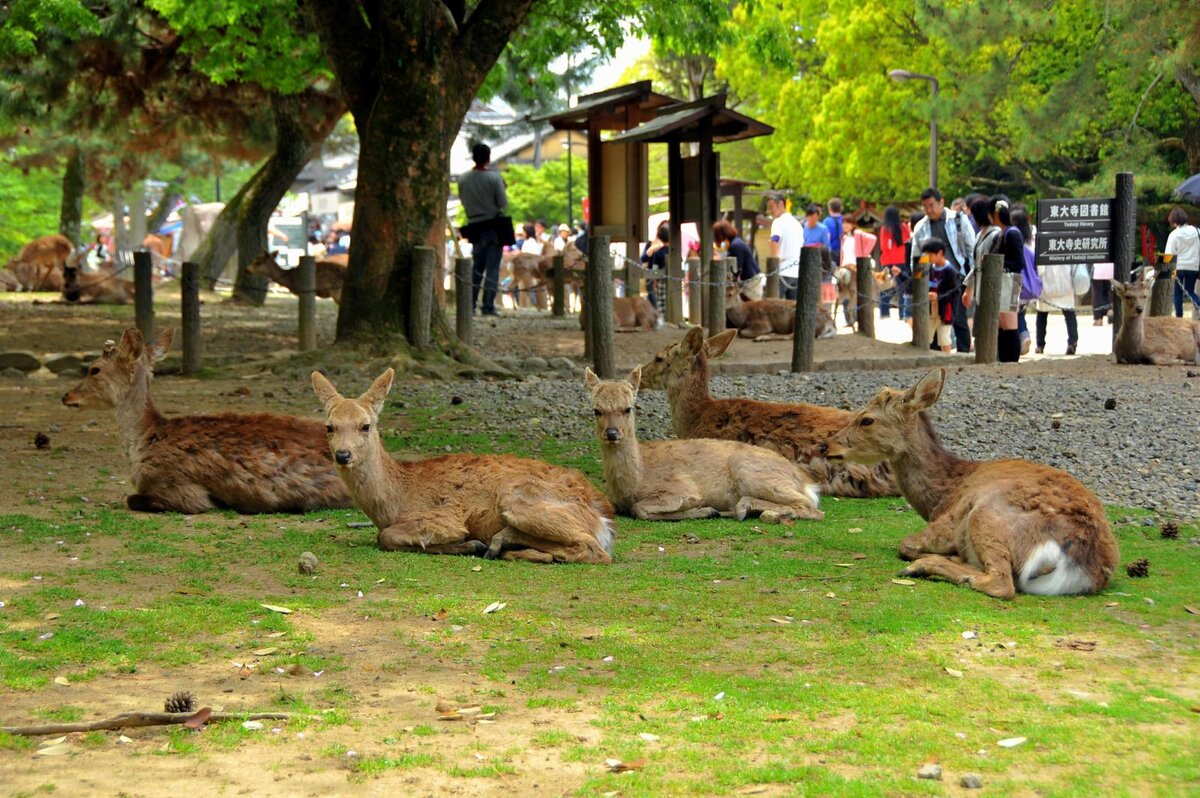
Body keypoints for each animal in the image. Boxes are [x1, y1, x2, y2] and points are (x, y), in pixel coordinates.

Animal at [314, 364, 614, 559]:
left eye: (365, 425)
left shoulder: (442, 517)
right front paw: (471, 545)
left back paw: (499, 544)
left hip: (516, 496)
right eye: (329, 426)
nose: (343, 455)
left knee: (594, 550)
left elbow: (386, 536)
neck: (394, 500)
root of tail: (602, 515)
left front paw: (468, 543)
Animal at [583, 369, 825, 523]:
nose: (612, 433)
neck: (634, 482)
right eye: (596, 410)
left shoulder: (681, 487)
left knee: (811, 507)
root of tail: (806, 482)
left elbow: (640, 508)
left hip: (750, 471)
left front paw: (705, 510)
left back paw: (746, 509)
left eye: (628, 408)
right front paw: (709, 511)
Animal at [820, 369, 1118, 595]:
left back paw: (926, 566)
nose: (826, 446)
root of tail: (1082, 559)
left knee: (1002, 583)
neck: (941, 496)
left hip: (985, 516)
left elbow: (906, 545)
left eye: (866, 419)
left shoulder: (947, 523)